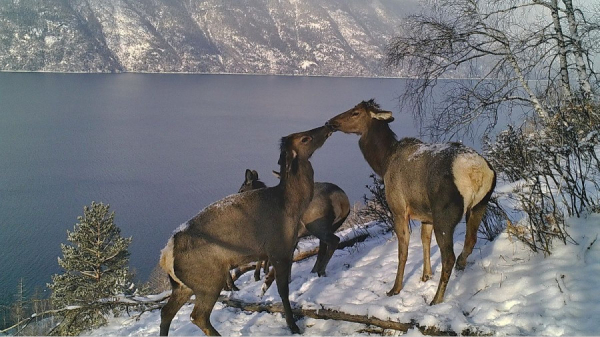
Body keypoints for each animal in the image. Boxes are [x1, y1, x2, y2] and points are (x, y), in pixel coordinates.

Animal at [159, 125, 332, 334]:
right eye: (305, 138)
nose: (328, 126)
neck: (291, 206)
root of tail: (166, 255)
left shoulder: (285, 249)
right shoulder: (279, 249)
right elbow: (282, 290)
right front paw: (293, 327)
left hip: (183, 285)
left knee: (166, 311)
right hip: (208, 279)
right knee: (197, 316)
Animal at [326, 98, 494, 304]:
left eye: (355, 112)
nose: (331, 122)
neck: (383, 162)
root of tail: (476, 172)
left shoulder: (398, 209)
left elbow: (402, 251)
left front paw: (395, 289)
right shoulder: (426, 215)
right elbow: (424, 241)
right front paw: (425, 275)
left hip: (445, 214)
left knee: (448, 257)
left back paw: (436, 299)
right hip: (480, 205)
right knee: (470, 241)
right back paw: (460, 267)